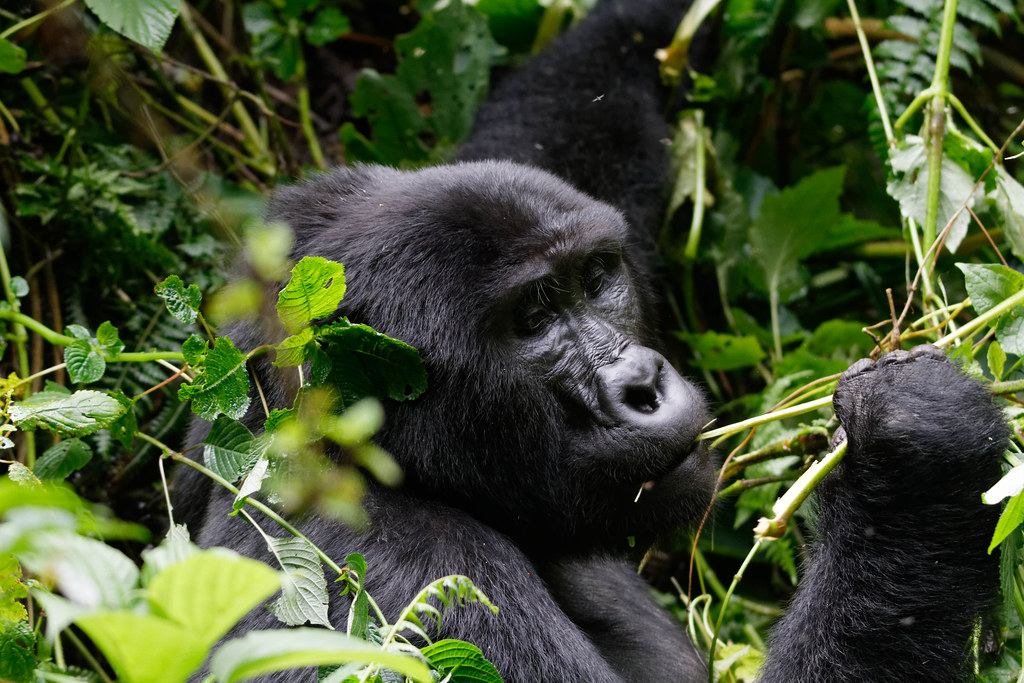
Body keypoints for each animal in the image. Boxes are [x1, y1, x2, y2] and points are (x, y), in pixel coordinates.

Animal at [178, 1, 1007, 683]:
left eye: (597, 276)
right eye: (535, 318)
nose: (643, 383)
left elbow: (563, 127)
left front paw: (660, 20)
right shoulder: (407, 578)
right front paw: (911, 452)